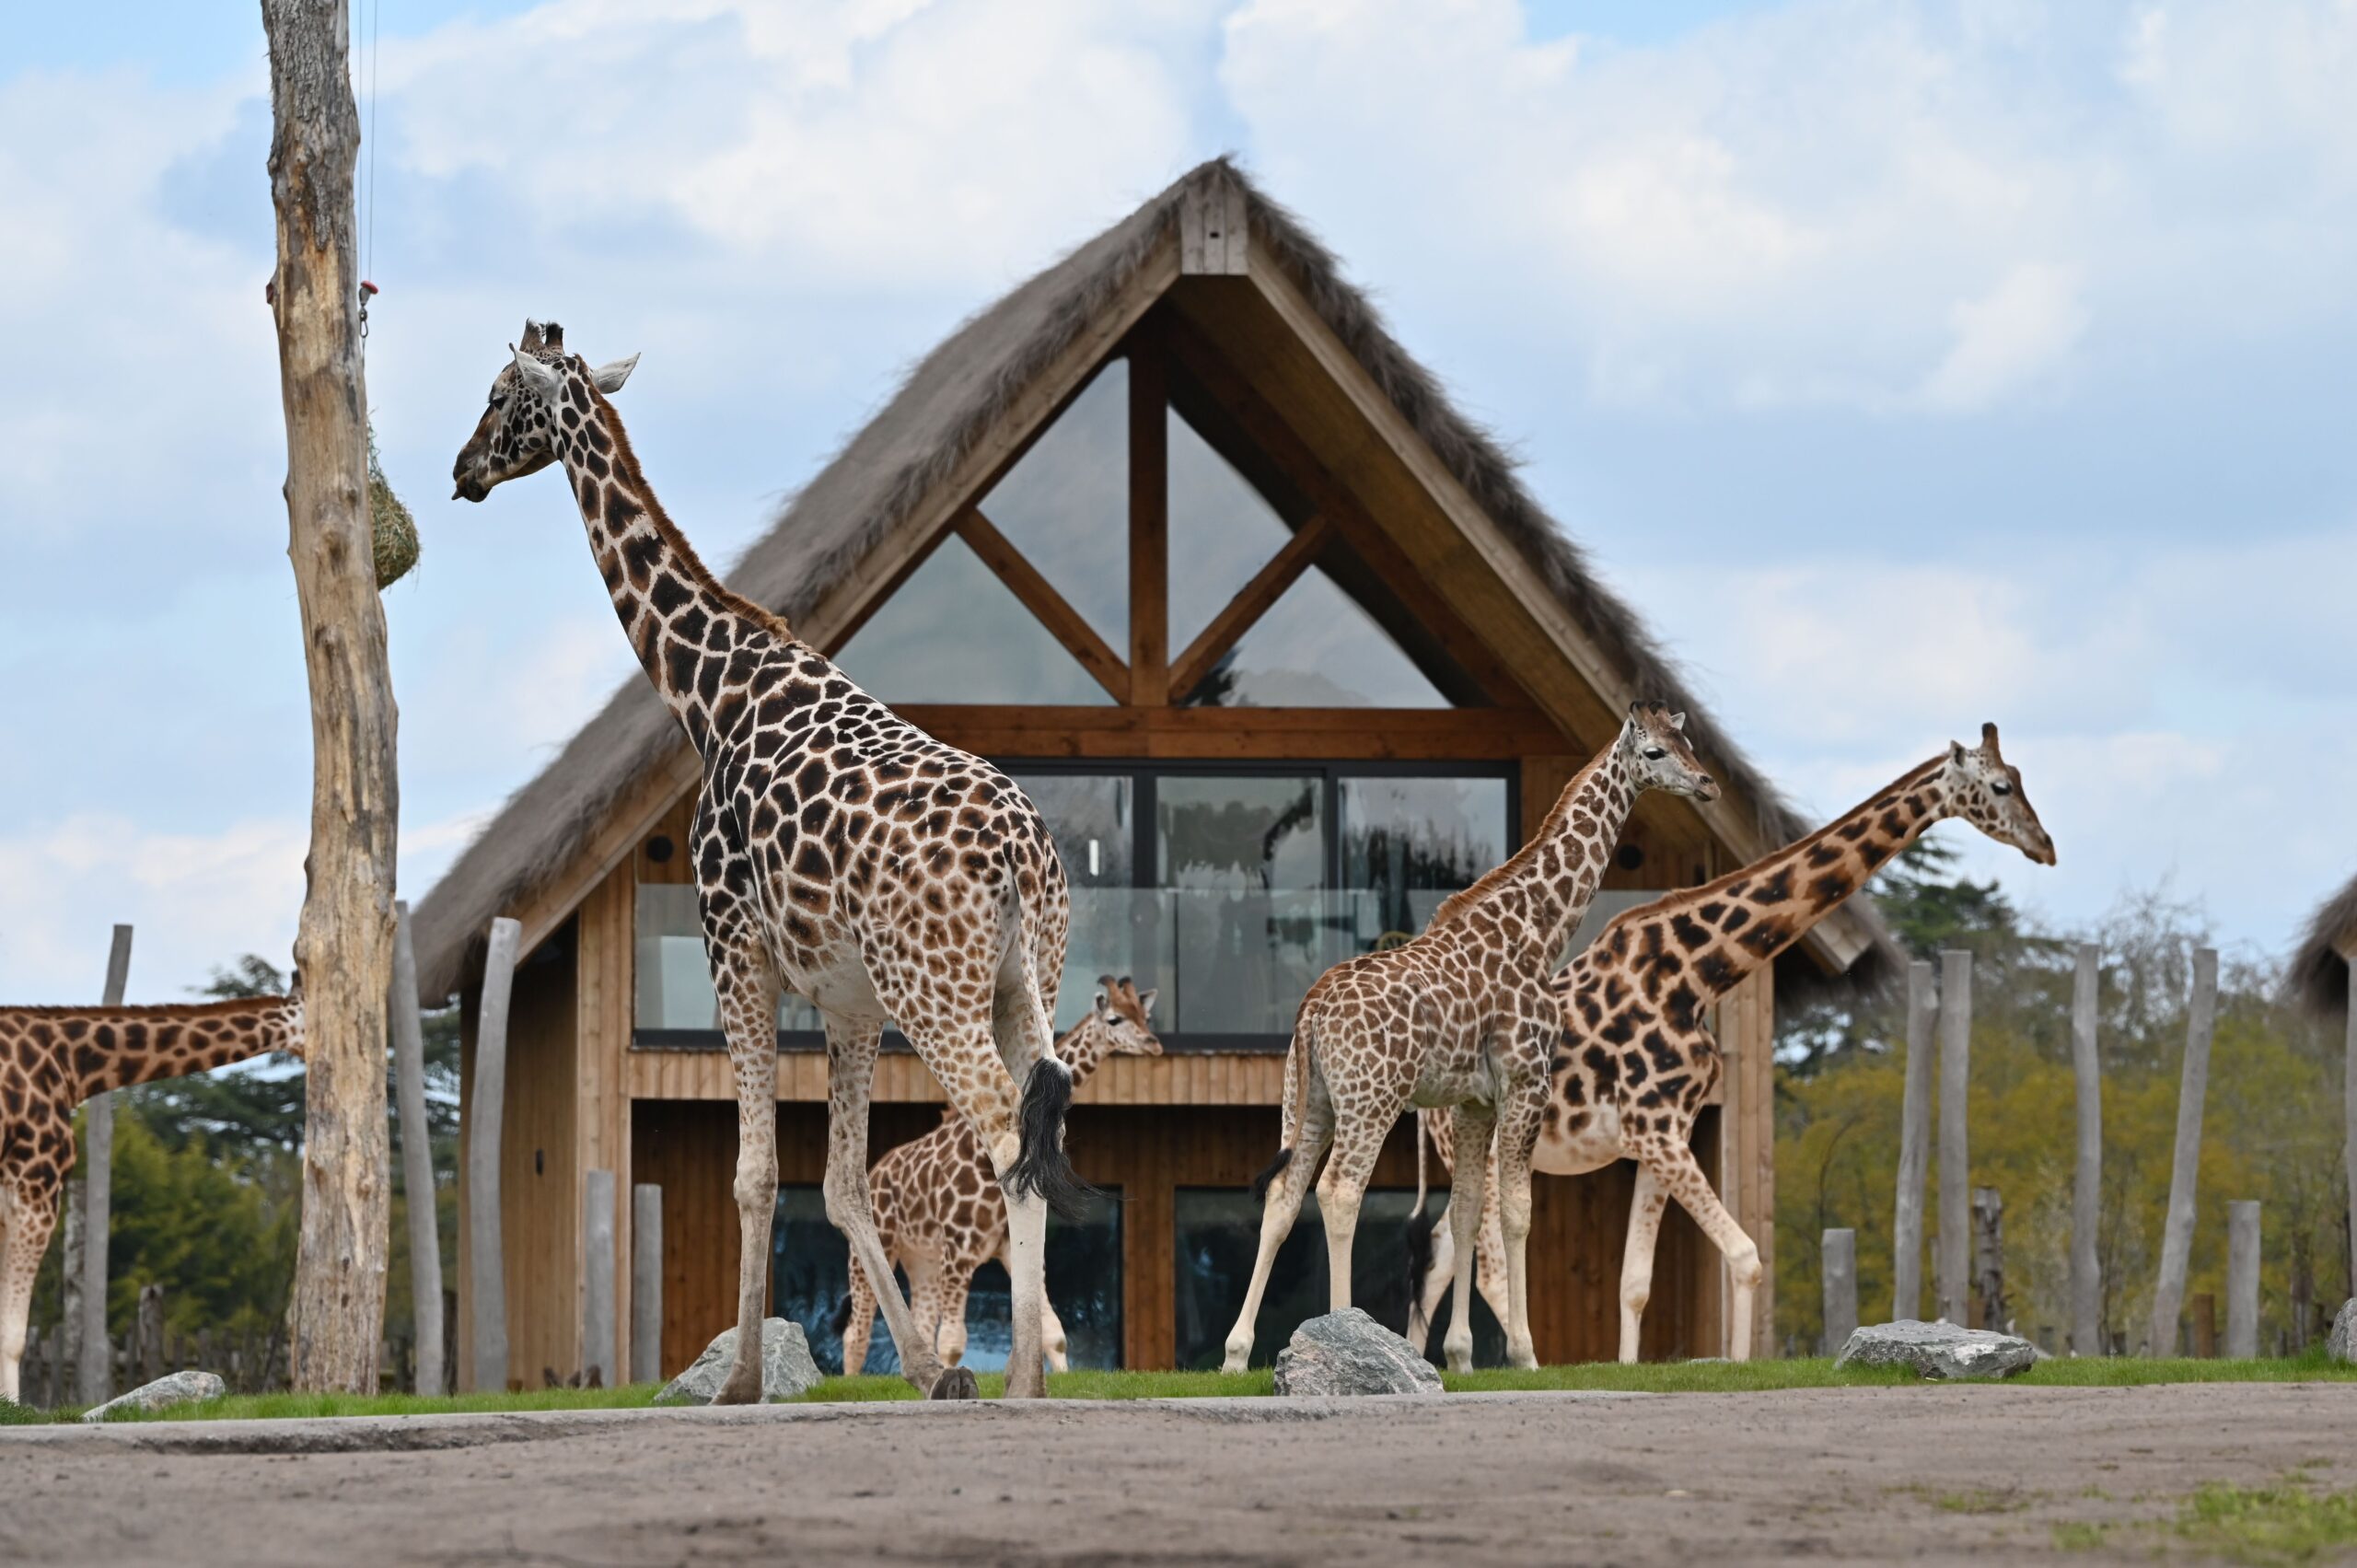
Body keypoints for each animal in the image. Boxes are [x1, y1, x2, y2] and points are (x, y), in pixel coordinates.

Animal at [452, 322, 1087, 1401]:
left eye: (499, 393)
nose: (461, 471)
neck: (707, 689)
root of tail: (1020, 853)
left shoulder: (732, 945)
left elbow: (755, 1173)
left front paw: (741, 1378)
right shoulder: (848, 1002)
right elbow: (837, 1182)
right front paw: (926, 1370)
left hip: (936, 989)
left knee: (1006, 1127)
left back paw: (1021, 1385)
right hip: (1023, 977)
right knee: (1042, 1123)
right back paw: (1017, 1378)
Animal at [837, 977, 1160, 1378]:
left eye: (1145, 1016)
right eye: (1115, 1019)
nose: (1154, 1044)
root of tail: (877, 1170)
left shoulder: (1004, 1248)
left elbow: (1054, 1334)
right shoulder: (958, 1251)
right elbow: (953, 1342)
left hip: (920, 1258)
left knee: (919, 1324)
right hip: (878, 1247)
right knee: (856, 1332)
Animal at [1220, 703, 1720, 1375]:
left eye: (1685, 739)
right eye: (1655, 752)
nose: (1708, 784)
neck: (1539, 930)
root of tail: (1312, 1013)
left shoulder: (1473, 1101)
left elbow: (1464, 1214)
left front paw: (1459, 1356)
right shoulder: (1527, 1081)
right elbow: (1515, 1213)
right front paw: (1525, 1353)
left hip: (1311, 1100)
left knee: (1282, 1196)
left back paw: (1236, 1353)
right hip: (1371, 1099)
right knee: (1341, 1191)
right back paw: (1344, 1332)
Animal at [1407, 723, 2056, 1363]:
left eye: (2022, 777)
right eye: (2000, 786)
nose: (2045, 846)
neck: (1698, 974)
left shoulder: (1662, 1134)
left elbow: (1634, 1284)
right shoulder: (1659, 1131)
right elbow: (1745, 1258)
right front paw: (1740, 1366)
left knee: (1437, 1253)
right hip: (1489, 1146)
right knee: (1481, 1261)